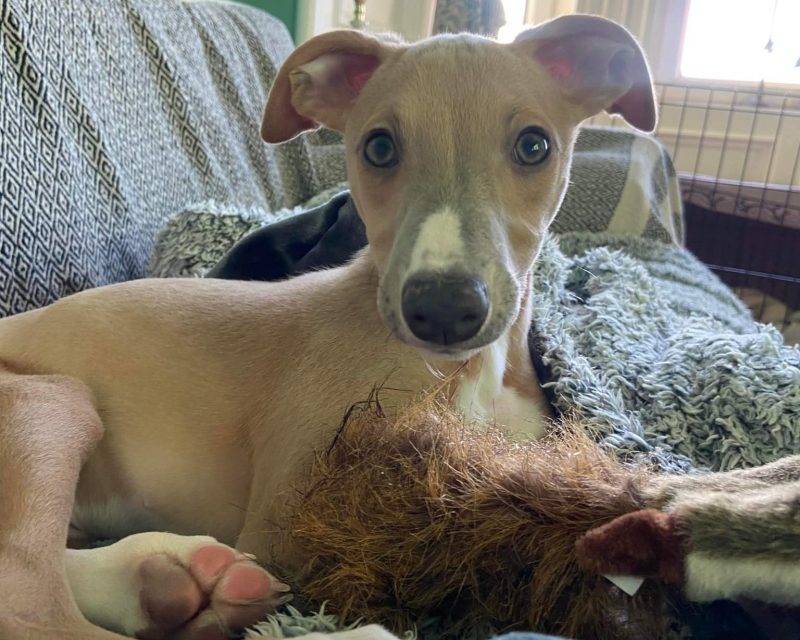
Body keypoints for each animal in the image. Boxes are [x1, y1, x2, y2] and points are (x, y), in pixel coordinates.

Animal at [0, 15, 656, 640]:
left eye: (534, 145)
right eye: (380, 148)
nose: (444, 309)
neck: (470, 373)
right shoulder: (283, 525)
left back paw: (161, 579)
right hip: (48, 402)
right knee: (32, 604)